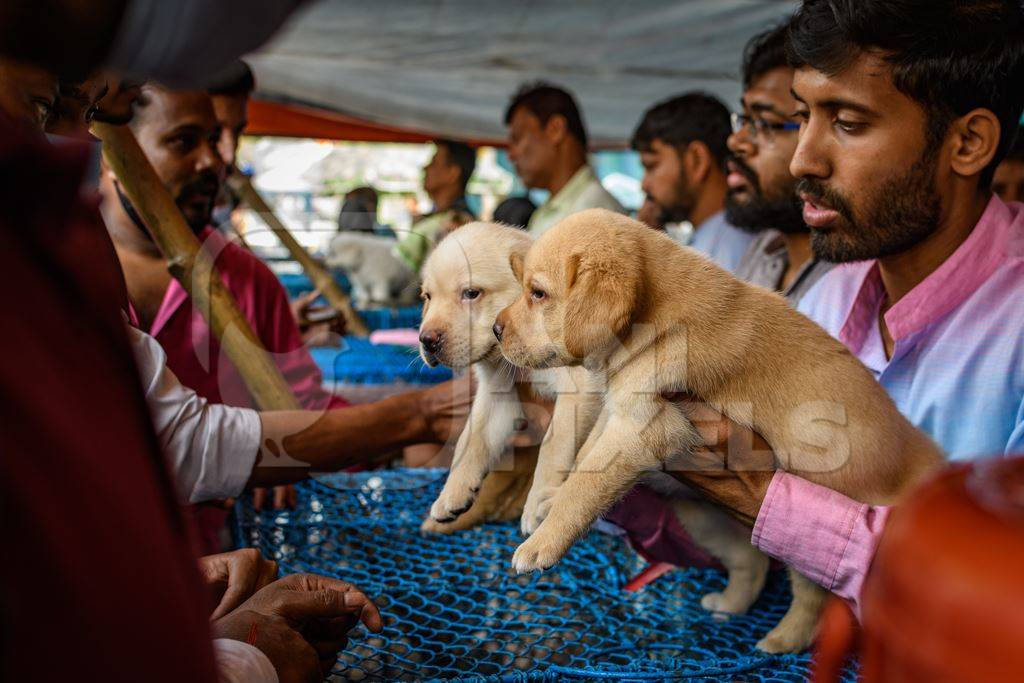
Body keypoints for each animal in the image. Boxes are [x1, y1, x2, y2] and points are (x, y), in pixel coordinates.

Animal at [495, 208, 942, 651]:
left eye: (538, 293)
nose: (496, 330)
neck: (651, 313)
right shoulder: (620, 410)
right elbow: (585, 455)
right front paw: (548, 500)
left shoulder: (648, 425)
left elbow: (586, 483)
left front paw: (542, 542)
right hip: (705, 519)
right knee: (752, 563)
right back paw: (730, 605)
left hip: (811, 532)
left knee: (813, 600)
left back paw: (780, 640)